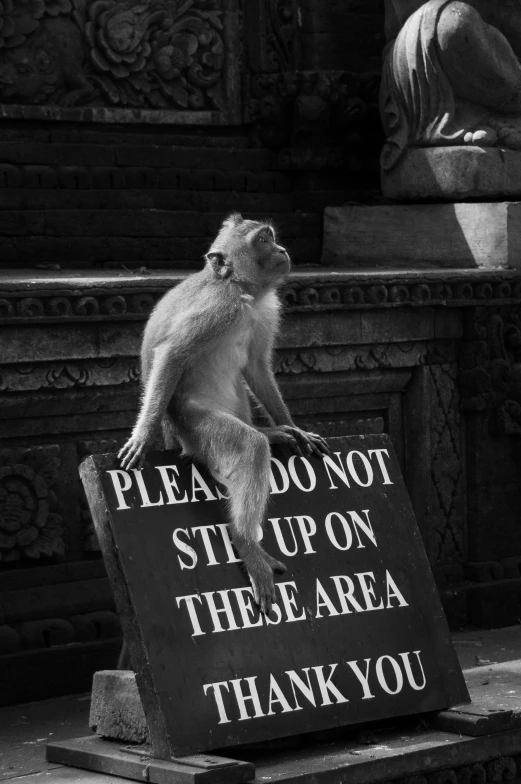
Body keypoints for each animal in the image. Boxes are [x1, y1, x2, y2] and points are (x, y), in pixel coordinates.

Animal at [119, 213, 330, 612]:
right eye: (263, 240)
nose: (282, 249)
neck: (243, 292)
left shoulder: (265, 312)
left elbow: (257, 368)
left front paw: (292, 426)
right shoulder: (218, 309)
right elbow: (172, 353)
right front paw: (143, 435)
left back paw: (271, 433)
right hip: (194, 427)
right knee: (247, 446)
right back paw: (246, 541)